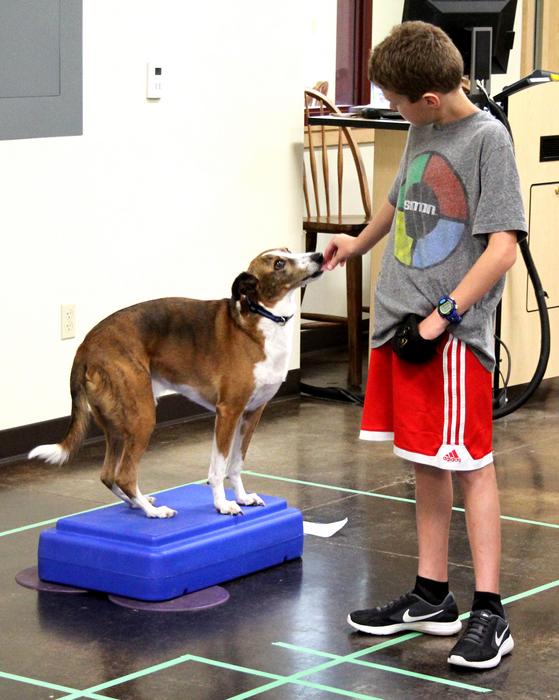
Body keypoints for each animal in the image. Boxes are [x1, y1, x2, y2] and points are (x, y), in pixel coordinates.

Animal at [28, 249, 324, 516]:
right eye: (279, 263)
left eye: (288, 250)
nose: (319, 255)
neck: (262, 317)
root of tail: (86, 346)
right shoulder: (228, 413)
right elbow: (218, 469)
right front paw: (223, 505)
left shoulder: (252, 413)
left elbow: (236, 464)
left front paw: (241, 497)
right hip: (142, 416)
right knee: (124, 475)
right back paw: (152, 511)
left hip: (117, 426)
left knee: (108, 475)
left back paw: (138, 503)